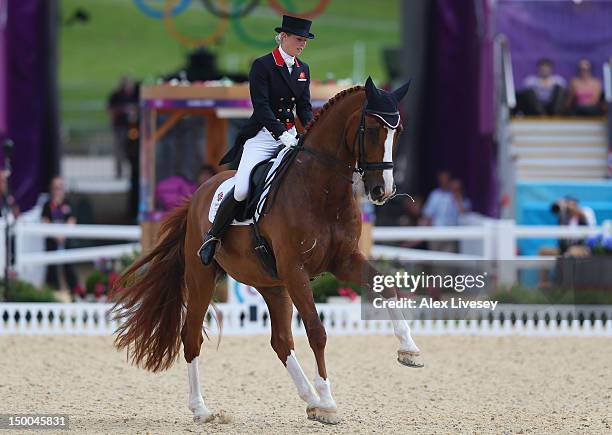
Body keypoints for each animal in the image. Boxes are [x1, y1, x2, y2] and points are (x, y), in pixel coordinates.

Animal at [112, 78, 420, 426]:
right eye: (372, 130)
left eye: (399, 131)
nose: (383, 191)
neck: (322, 189)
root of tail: (198, 194)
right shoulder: (295, 269)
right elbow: (316, 331)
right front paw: (329, 403)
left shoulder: (343, 261)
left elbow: (387, 284)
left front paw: (409, 350)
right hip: (202, 277)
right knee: (191, 336)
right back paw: (202, 409)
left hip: (272, 285)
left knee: (281, 341)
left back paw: (310, 400)